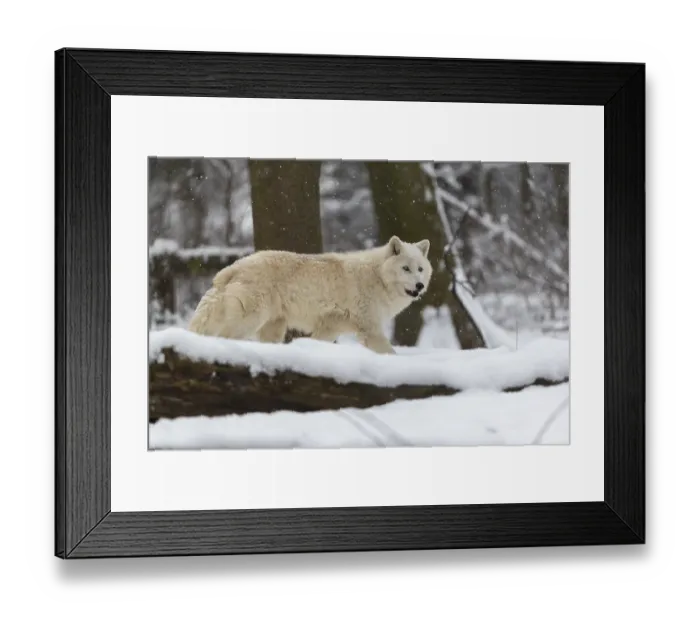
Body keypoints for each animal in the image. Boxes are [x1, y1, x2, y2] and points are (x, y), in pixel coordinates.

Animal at [187, 235, 432, 354]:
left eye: (420, 269)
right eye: (406, 269)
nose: (420, 286)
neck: (377, 277)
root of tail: (231, 268)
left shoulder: (329, 328)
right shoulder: (369, 329)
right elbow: (390, 353)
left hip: (273, 328)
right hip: (250, 321)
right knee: (224, 337)